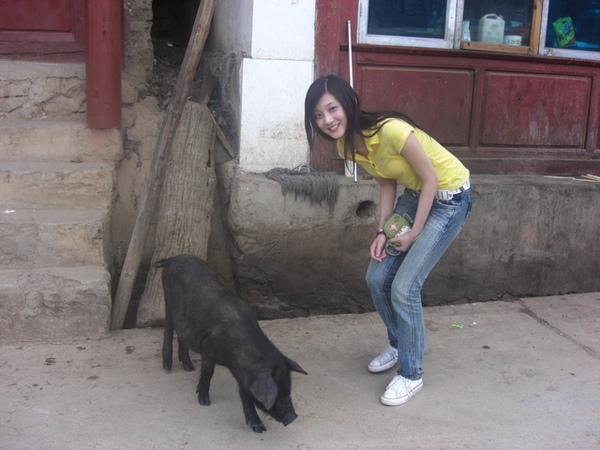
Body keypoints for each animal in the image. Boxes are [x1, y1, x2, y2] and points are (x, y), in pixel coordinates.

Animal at [155, 253, 308, 432]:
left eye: (288, 389)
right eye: (276, 394)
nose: (292, 417)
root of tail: (173, 258)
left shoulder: (245, 375)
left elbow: (245, 395)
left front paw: (258, 429)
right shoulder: (208, 349)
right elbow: (208, 373)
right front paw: (204, 402)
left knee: (182, 334)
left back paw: (189, 368)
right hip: (168, 302)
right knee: (168, 328)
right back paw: (167, 367)